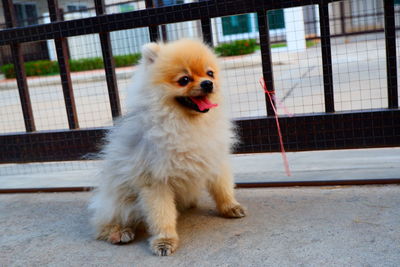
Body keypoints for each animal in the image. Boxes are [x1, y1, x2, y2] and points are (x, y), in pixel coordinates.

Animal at [89, 38, 245, 256]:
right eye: (184, 79)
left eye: (210, 73)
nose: (208, 83)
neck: (185, 123)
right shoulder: (155, 180)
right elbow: (161, 214)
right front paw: (164, 240)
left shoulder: (214, 158)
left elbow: (222, 188)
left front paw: (230, 206)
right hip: (120, 200)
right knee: (104, 221)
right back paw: (118, 232)